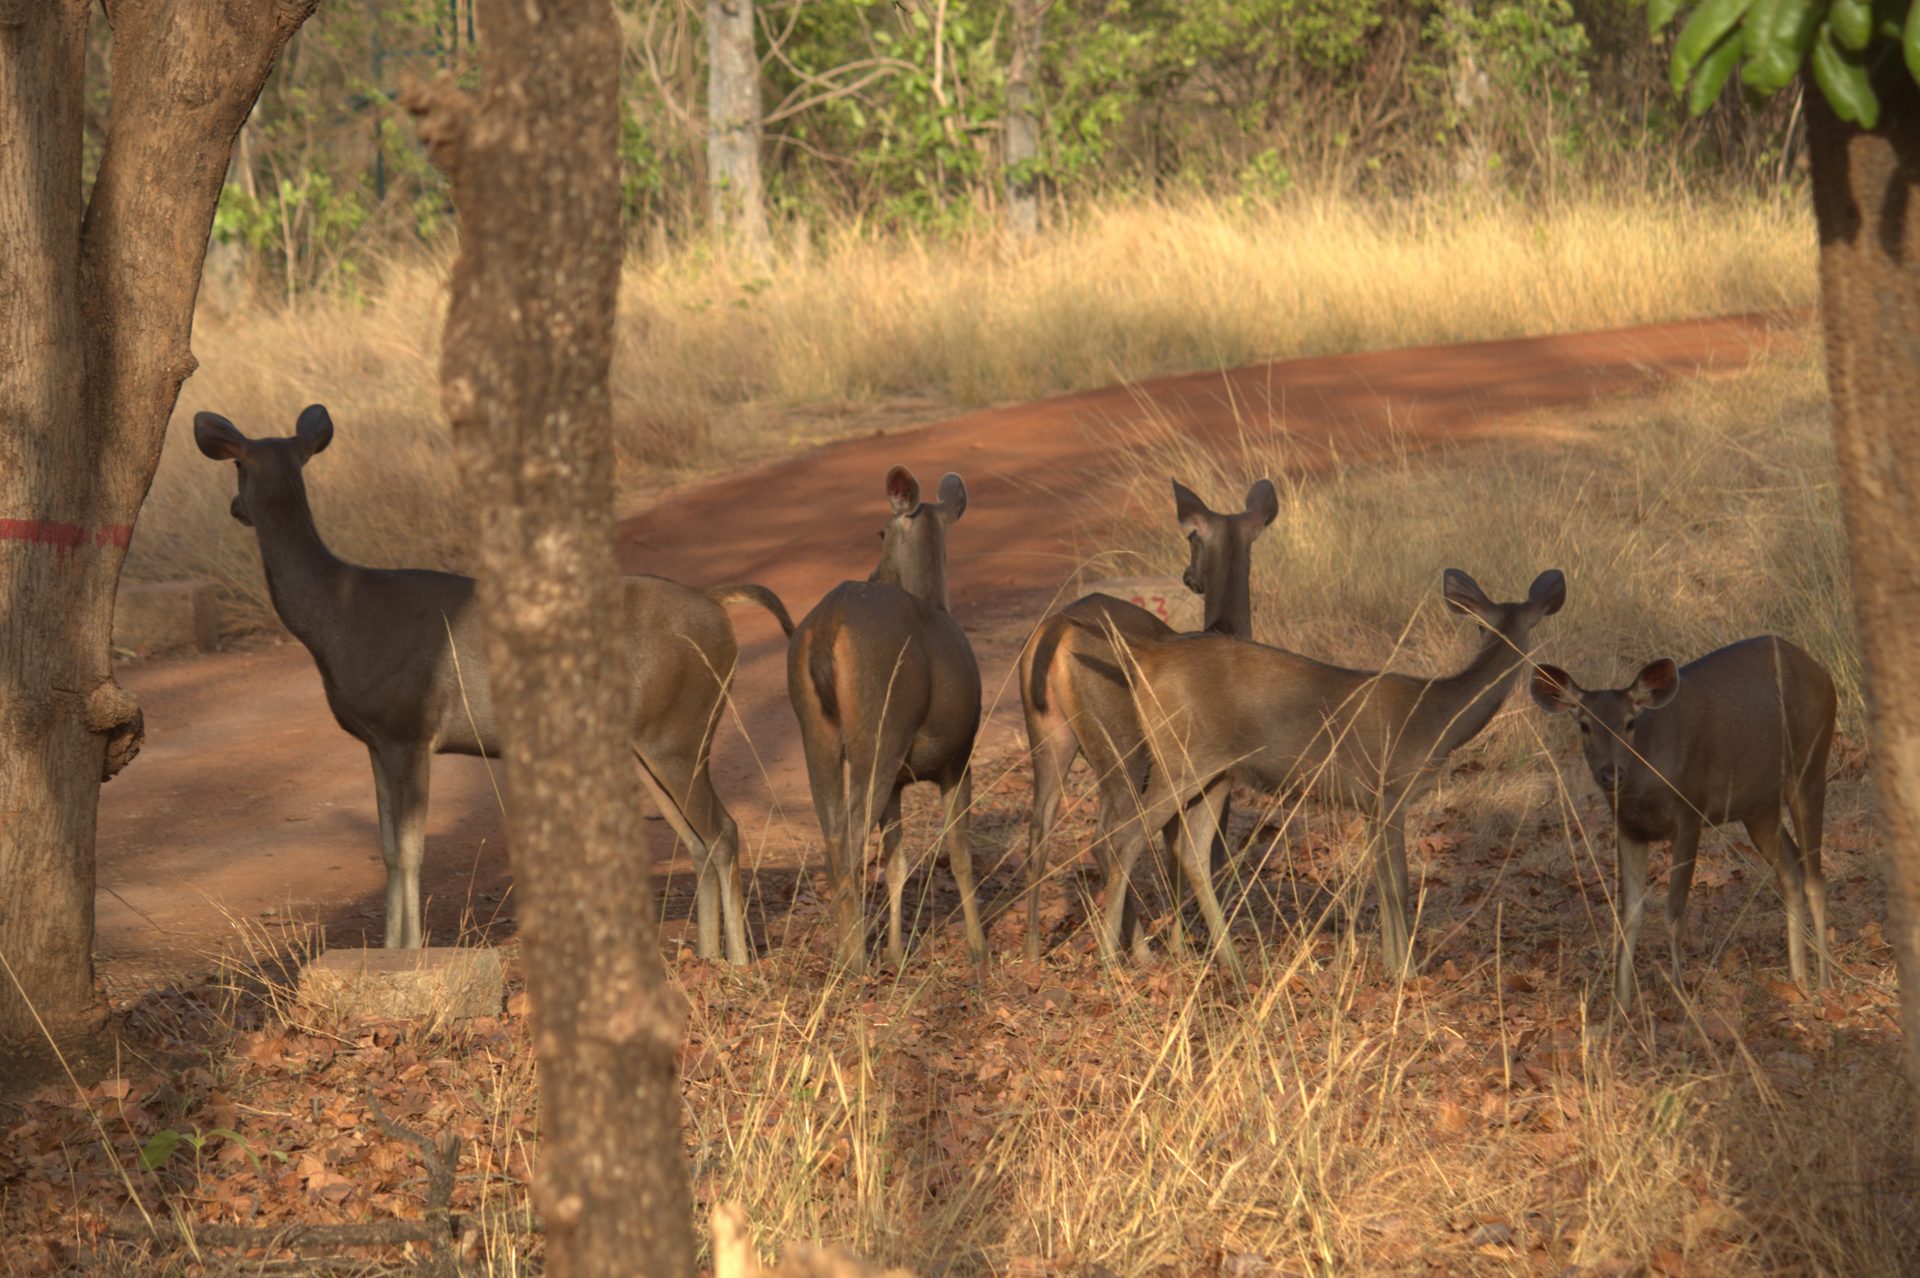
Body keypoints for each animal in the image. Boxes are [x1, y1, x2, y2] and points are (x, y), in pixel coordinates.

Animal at [194, 405, 794, 964]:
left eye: (237, 468)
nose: (234, 509)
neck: (336, 615)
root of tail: (717, 606)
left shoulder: (409, 729)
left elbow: (409, 851)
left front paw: (408, 954)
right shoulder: (377, 740)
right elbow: (387, 850)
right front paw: (388, 953)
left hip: (678, 731)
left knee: (723, 831)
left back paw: (739, 963)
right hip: (654, 740)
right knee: (696, 838)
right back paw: (708, 956)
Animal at [787, 465, 984, 973]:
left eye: (879, 532)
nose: (873, 572)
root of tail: (828, 626)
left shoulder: (899, 780)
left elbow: (896, 862)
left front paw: (896, 950)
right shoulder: (959, 756)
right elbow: (959, 854)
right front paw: (979, 947)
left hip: (817, 732)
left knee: (833, 835)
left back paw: (849, 953)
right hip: (881, 727)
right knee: (850, 840)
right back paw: (855, 958)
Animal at [1019, 477, 1278, 960]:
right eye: (1192, 537)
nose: (1189, 577)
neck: (1224, 628)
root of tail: (1056, 629)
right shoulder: (1210, 770)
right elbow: (1197, 851)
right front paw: (1184, 947)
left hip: (1049, 735)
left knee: (1040, 830)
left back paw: (1032, 954)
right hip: (1123, 744)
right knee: (1110, 835)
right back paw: (1135, 952)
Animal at [1071, 568, 1566, 978]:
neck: (1435, 720)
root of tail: (1146, 659)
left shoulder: (1370, 805)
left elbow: (1380, 879)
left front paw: (1391, 963)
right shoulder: (1389, 789)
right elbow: (1399, 882)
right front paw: (1405, 972)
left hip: (1215, 770)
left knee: (1189, 850)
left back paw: (1230, 961)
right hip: (1179, 756)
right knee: (1124, 835)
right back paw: (1112, 958)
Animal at [1530, 635, 1836, 1009]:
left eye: (1630, 722)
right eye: (1584, 724)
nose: (1610, 774)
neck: (1644, 784)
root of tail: (1822, 674)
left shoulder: (1690, 813)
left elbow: (1674, 911)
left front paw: (1679, 996)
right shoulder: (1628, 829)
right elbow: (1629, 915)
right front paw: (1620, 1003)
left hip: (1811, 768)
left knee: (1815, 878)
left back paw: (1824, 981)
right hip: (1759, 807)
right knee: (1791, 869)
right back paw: (1797, 978)